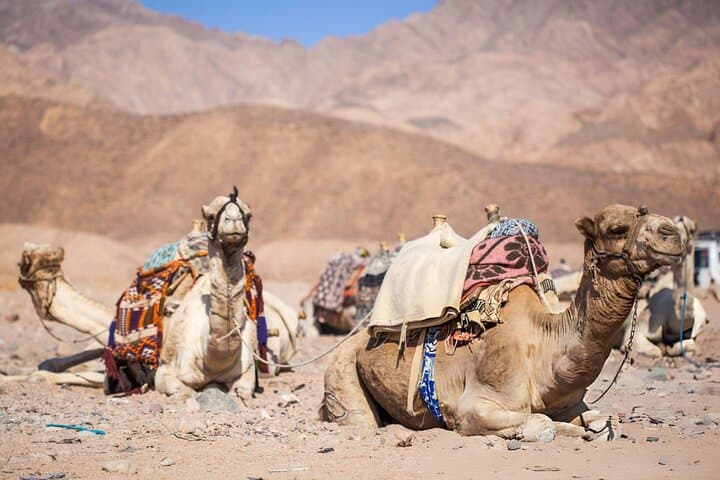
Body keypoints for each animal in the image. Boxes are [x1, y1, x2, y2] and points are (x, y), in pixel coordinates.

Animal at [321, 204, 684, 441]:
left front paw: (592, 428)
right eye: (616, 229)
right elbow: (543, 424)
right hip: (342, 370)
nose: (674, 235)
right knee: (359, 420)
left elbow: (602, 418)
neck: (544, 345)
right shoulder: (474, 407)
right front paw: (571, 431)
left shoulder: (571, 400)